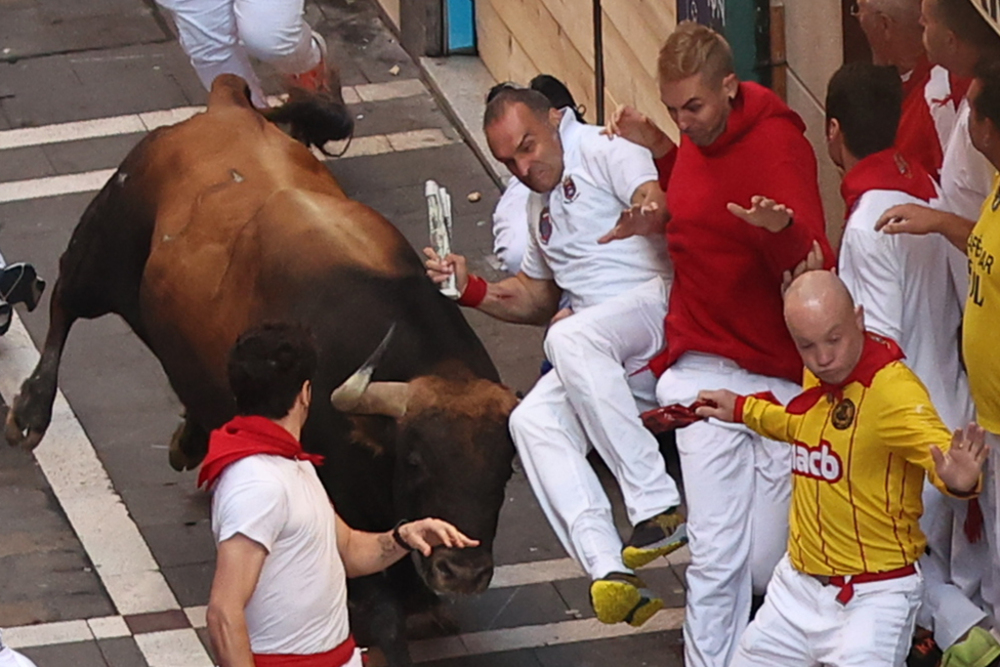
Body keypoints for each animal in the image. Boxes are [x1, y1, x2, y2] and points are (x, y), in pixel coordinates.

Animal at [7, 73, 520, 667]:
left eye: (506, 469)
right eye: (415, 461)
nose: (463, 572)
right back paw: (30, 412)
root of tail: (225, 103)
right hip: (104, 244)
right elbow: (382, 616)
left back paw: (191, 438)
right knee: (64, 299)